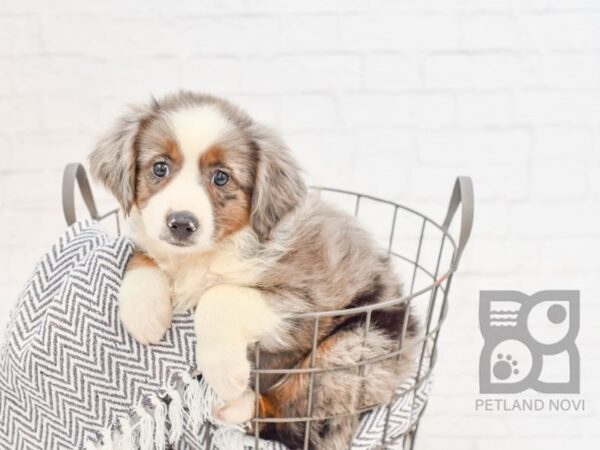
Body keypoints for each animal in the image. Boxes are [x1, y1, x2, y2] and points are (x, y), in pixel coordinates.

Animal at [90, 91, 418, 450]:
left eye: (221, 177)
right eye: (160, 167)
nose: (181, 224)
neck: (207, 253)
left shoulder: (303, 301)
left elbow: (219, 296)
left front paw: (225, 371)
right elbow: (143, 252)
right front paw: (144, 314)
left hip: (352, 348)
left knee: (299, 420)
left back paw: (236, 403)